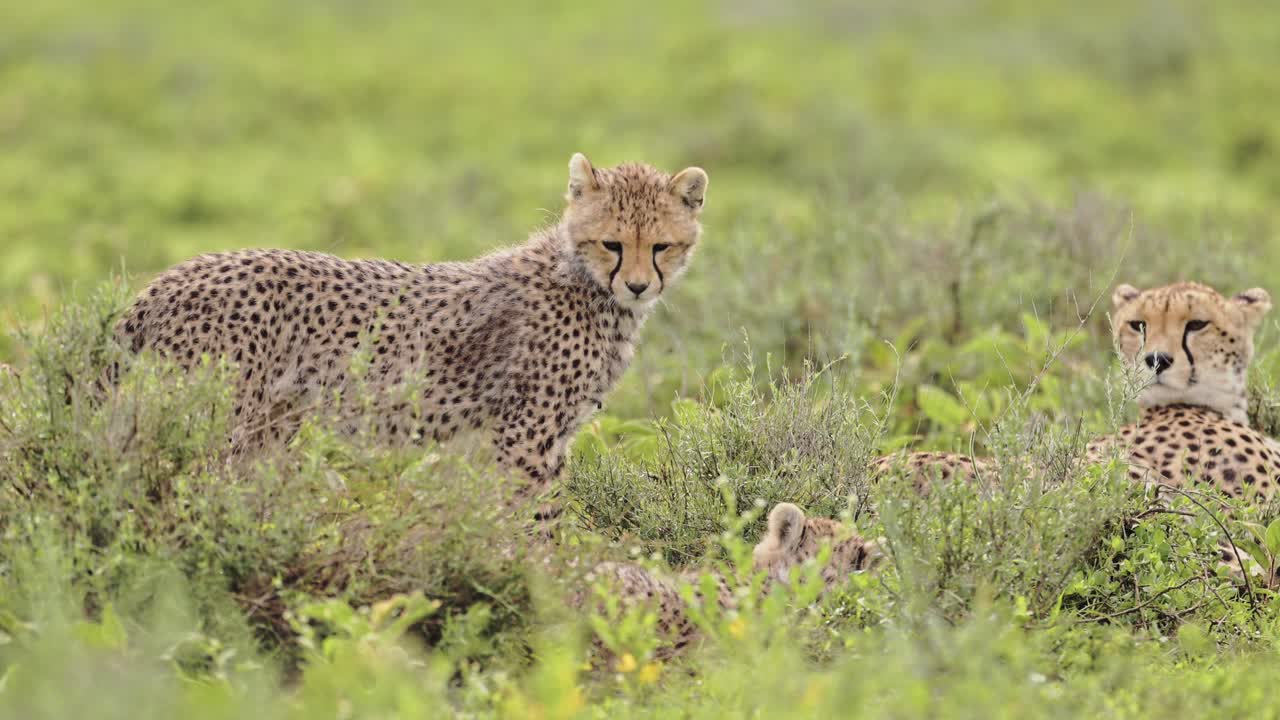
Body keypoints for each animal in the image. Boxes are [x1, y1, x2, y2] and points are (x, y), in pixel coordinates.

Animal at [115, 153, 709, 505]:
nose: (638, 285)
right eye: (612, 243)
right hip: (216, 420)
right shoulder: (526, 435)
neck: (584, 280)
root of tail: (172, 275)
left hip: (266, 426)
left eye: (660, 246)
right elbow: (538, 522)